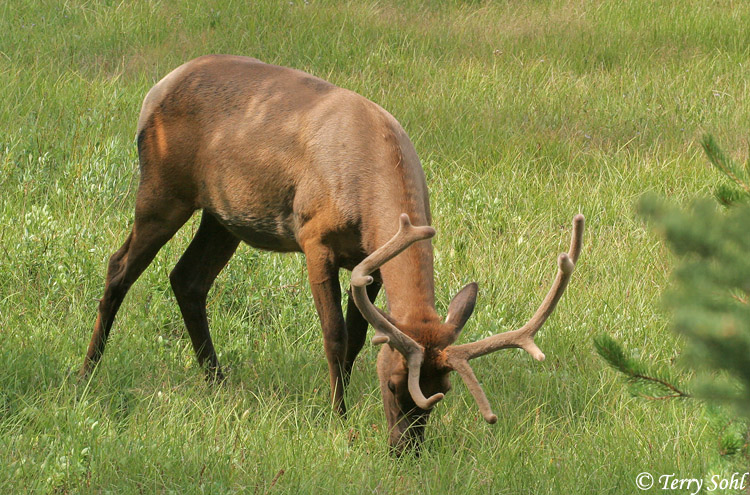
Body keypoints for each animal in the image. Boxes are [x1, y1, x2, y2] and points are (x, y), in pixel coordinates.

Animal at [80, 55, 584, 454]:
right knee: (119, 266)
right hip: (162, 190)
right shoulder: (314, 238)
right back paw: (87, 372)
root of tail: (154, 90)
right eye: (393, 383)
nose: (405, 450)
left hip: (223, 215)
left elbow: (360, 338)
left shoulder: (368, 263)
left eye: (443, 390)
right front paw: (336, 416)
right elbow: (335, 335)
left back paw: (217, 381)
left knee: (187, 278)